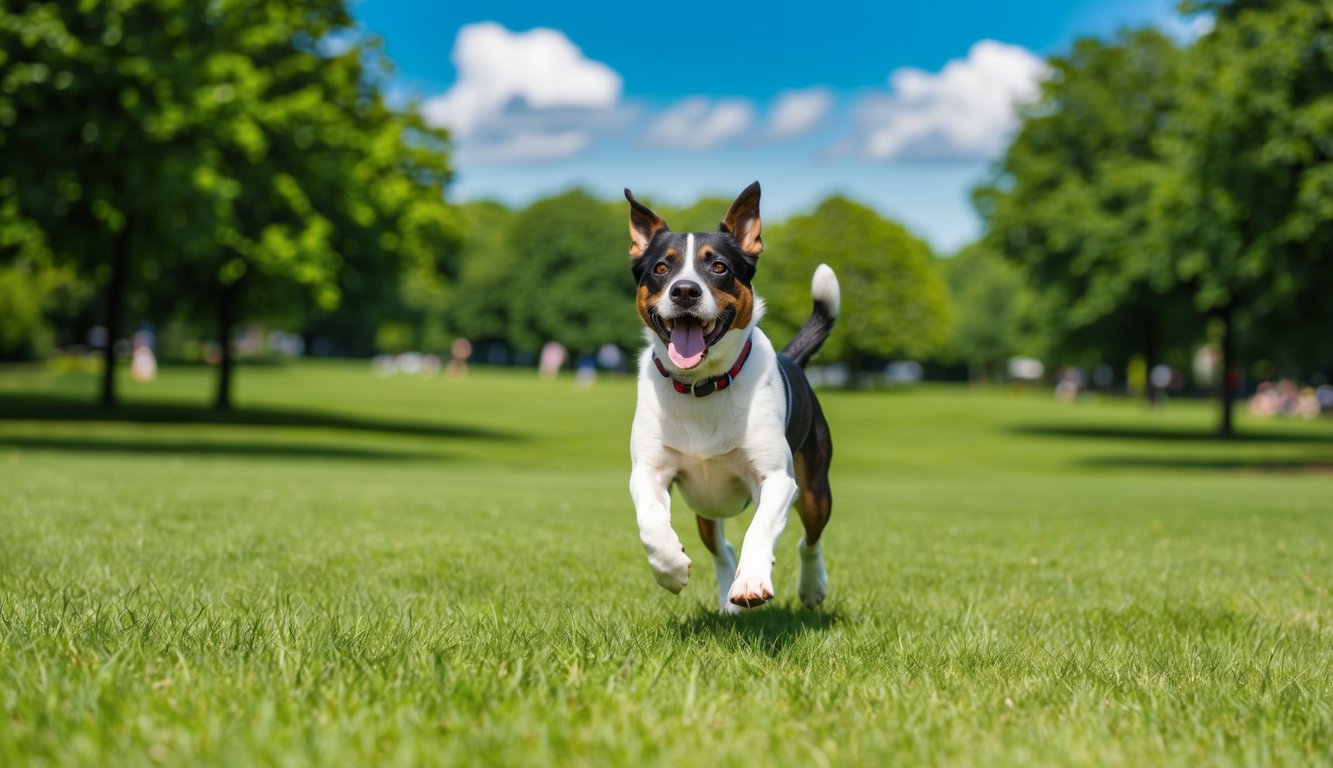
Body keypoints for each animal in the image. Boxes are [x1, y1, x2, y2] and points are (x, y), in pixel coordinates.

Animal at [621, 180, 831, 613]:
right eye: (661, 268)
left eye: (718, 267)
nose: (685, 290)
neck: (701, 385)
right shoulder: (648, 470)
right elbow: (650, 521)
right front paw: (670, 568)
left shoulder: (777, 478)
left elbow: (760, 529)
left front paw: (751, 581)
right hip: (705, 505)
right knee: (722, 549)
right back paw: (725, 604)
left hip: (815, 488)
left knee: (809, 539)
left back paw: (811, 587)